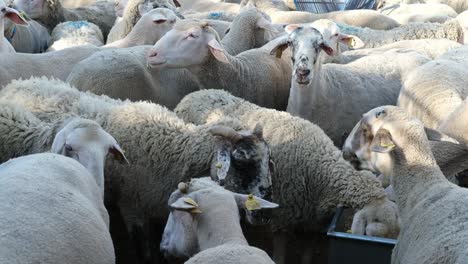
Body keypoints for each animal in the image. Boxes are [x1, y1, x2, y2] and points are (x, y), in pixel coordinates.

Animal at [0, 76, 278, 262]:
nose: (265, 214)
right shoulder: (132, 205)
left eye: (269, 160)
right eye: (241, 159)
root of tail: (22, 81)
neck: (173, 147)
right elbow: (144, 250)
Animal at [174, 89, 400, 262]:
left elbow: (307, 256)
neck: (320, 169)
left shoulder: (312, 222)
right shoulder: (282, 217)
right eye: (372, 227)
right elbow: (280, 255)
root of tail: (197, 93)